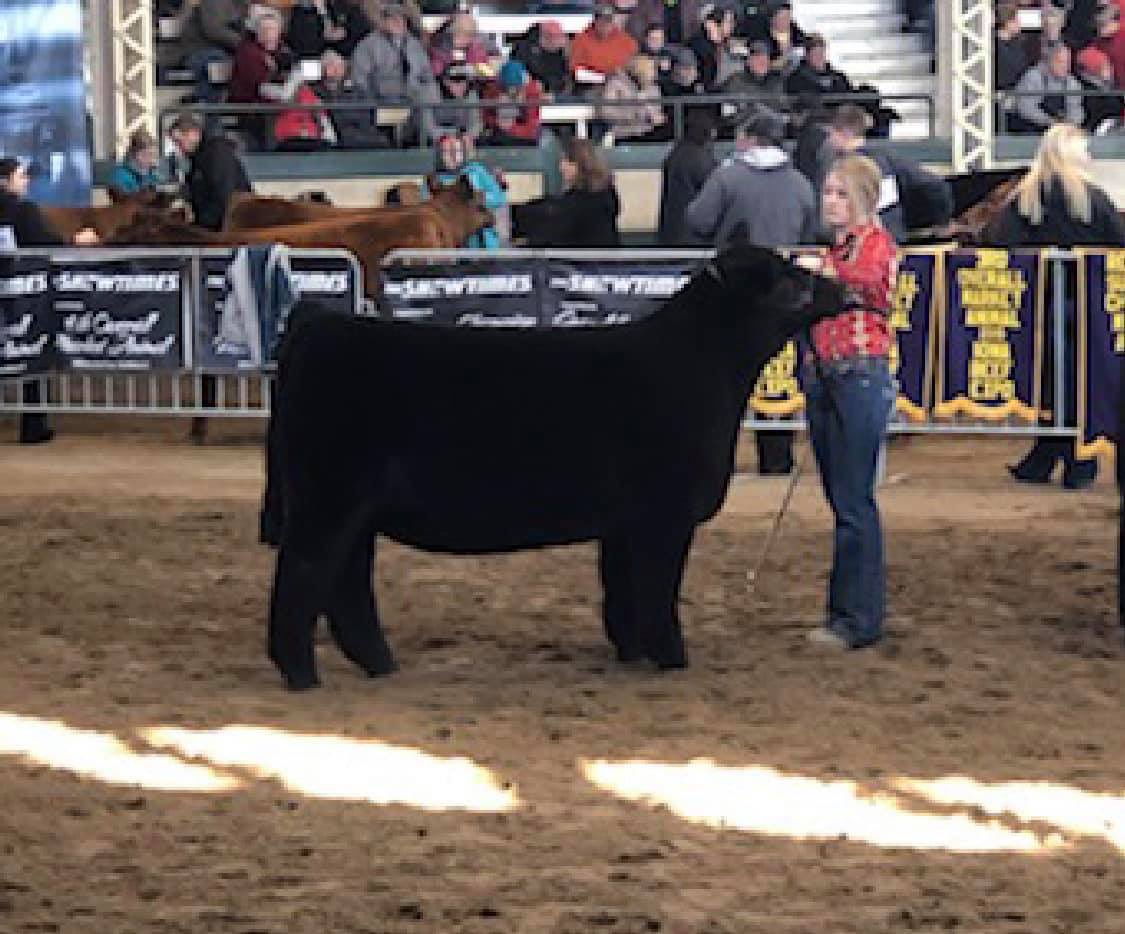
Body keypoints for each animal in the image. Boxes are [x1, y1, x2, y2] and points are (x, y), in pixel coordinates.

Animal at [260, 244, 848, 691]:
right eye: (790, 281)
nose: (843, 291)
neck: (703, 366)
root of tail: (320, 323)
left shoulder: (623, 524)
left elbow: (622, 592)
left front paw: (631, 653)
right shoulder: (663, 516)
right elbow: (658, 590)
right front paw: (673, 657)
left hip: (354, 510)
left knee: (346, 586)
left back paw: (379, 664)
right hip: (327, 500)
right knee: (303, 577)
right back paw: (302, 675)